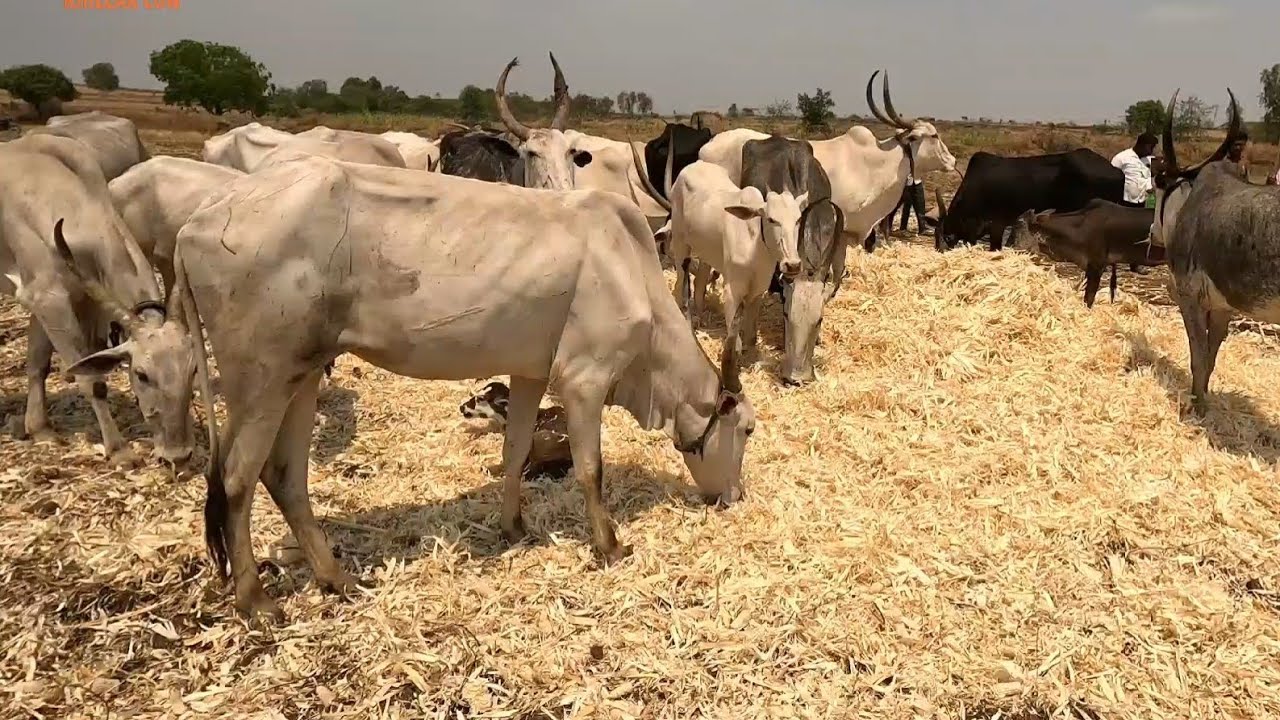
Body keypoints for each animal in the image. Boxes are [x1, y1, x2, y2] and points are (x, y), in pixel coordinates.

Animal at [0, 133, 205, 466]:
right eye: (141, 374)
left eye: (194, 370)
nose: (179, 455)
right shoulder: (48, 298)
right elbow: (91, 379)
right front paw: (119, 449)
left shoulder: (63, 301)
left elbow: (38, 363)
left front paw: (40, 428)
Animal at [168, 154, 755, 622]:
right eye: (747, 429)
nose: (734, 496)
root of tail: (196, 223)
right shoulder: (584, 378)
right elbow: (591, 468)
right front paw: (609, 545)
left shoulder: (530, 373)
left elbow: (515, 450)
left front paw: (514, 526)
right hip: (262, 377)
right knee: (237, 479)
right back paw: (256, 599)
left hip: (302, 371)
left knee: (285, 475)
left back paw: (337, 577)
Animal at [1150, 88, 1266, 409]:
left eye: (1157, 187)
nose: (1152, 233)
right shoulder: (1222, 306)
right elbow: (1211, 359)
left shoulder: (1188, 295)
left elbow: (1198, 358)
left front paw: (1195, 405)